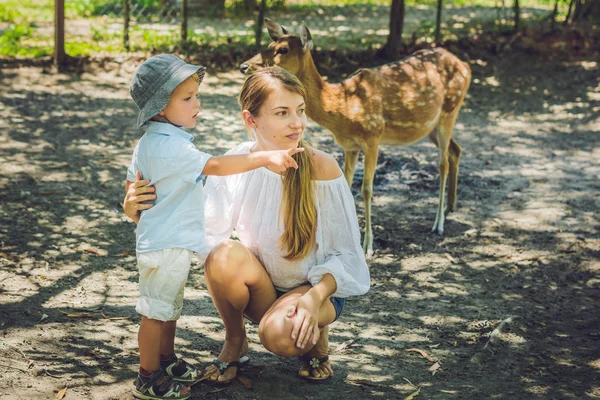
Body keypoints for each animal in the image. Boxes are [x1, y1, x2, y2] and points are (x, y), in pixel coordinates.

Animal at [241, 19, 472, 256]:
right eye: (270, 44)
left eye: (283, 49)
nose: (244, 66)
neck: (343, 108)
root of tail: (465, 64)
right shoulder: (350, 145)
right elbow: (347, 183)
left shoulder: (373, 135)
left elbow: (367, 189)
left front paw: (368, 245)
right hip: (431, 127)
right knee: (456, 150)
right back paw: (450, 206)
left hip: (450, 110)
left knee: (443, 163)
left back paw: (438, 223)